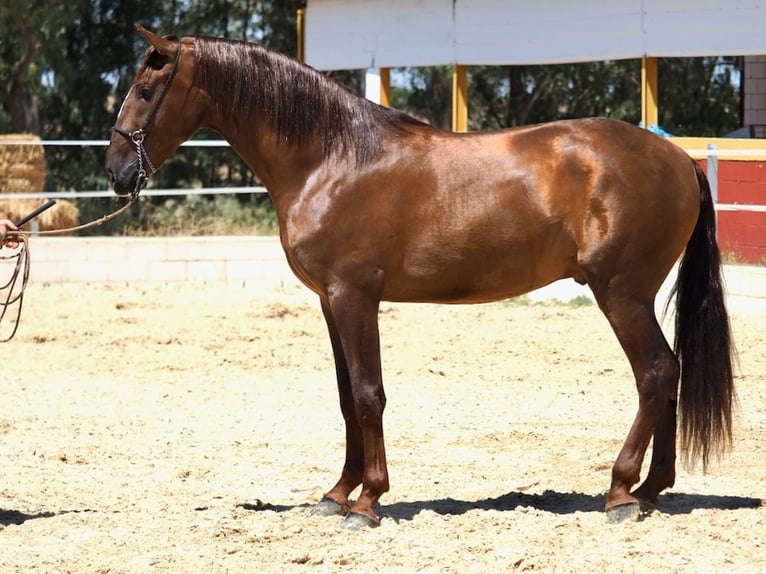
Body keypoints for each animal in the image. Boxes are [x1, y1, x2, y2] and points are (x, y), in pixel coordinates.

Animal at [105, 27, 736, 532]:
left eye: (144, 90)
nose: (115, 172)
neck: (331, 159)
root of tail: (679, 159)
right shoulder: (330, 302)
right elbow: (346, 398)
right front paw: (337, 494)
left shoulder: (355, 297)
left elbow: (368, 395)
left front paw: (367, 503)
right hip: (636, 296)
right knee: (670, 372)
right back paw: (651, 490)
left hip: (621, 294)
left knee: (656, 373)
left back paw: (621, 493)